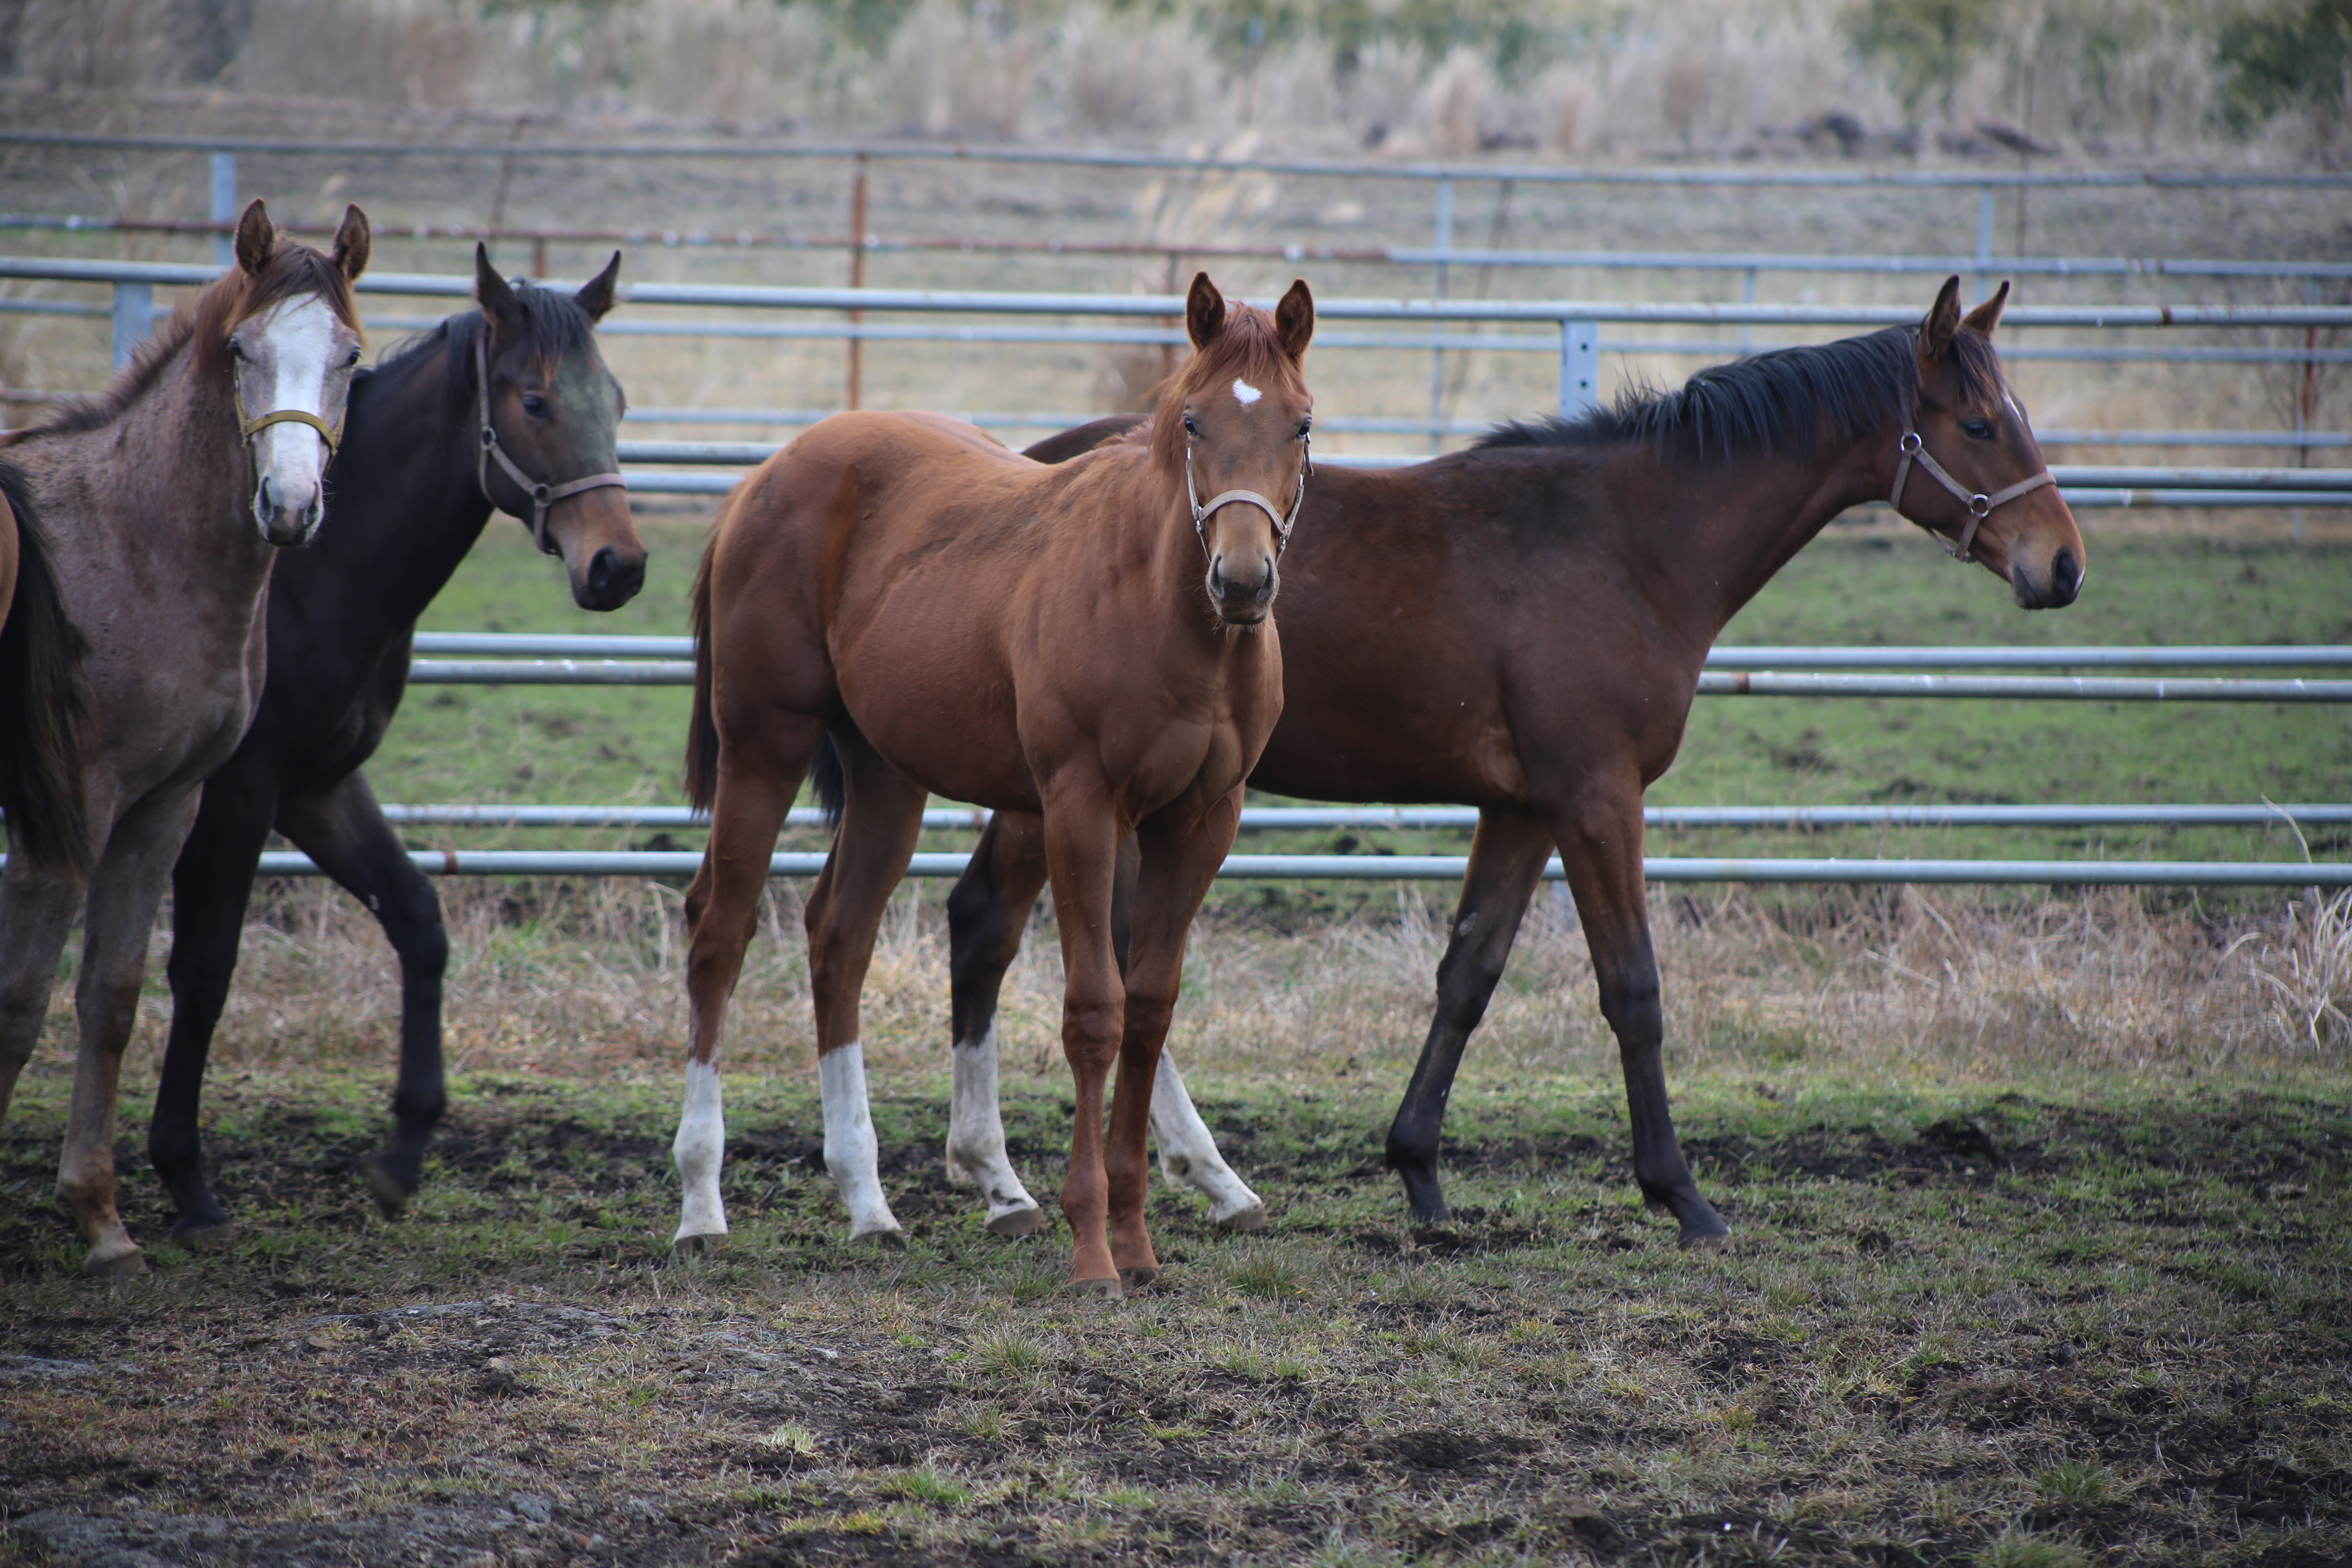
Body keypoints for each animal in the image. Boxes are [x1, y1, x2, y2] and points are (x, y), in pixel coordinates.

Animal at [0, 200, 372, 1278]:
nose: (289, 506)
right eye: (244, 349)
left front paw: (101, 1219)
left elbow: (113, 997)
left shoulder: (164, 808)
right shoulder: (64, 817)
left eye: (351, 358)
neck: (131, 543)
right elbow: (19, 1001)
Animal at [149, 245, 644, 1241]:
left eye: (613, 399)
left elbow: (419, 921)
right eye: (536, 402)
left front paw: (404, 1152)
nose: (619, 566)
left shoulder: (318, 788)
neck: (307, 577)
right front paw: (185, 1177)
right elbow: (206, 967)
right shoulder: (235, 794)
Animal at [673, 272, 1317, 1297]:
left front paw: (1138, 1242)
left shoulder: (1201, 821)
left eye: (1300, 424)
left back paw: (868, 1202)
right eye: (1191, 421)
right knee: (720, 932)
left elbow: (1150, 1008)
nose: (1244, 579)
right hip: (762, 748)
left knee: (839, 936)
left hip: (886, 777)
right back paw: (701, 1205)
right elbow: (1094, 1013)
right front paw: (1092, 1249)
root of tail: (765, 476)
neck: (1160, 607)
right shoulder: (1081, 808)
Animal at [945, 272, 2088, 1250]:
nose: (2063, 565)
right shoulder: (1596, 797)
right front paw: (1680, 1196)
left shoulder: (1523, 809)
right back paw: (1008, 1180)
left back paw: (1175, 1175)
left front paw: (1417, 1172)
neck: (1625, 545)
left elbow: (1468, 975)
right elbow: (1632, 987)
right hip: (1054, 792)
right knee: (991, 924)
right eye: (1978, 425)